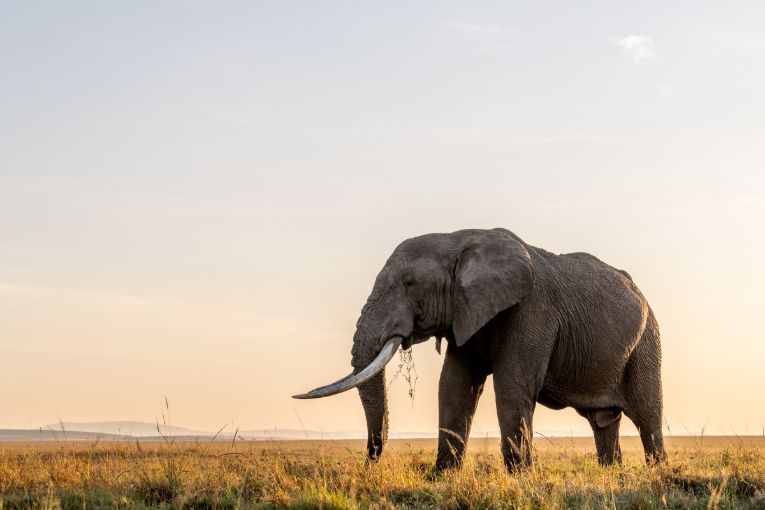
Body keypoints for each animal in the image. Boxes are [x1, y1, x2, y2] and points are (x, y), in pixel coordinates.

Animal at [296, 229, 664, 472]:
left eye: (409, 283)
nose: (372, 457)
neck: (458, 239)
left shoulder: (532, 309)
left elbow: (511, 386)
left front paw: (520, 480)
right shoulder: (465, 312)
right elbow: (455, 386)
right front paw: (442, 478)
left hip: (648, 339)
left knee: (648, 414)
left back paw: (657, 473)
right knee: (603, 422)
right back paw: (612, 474)